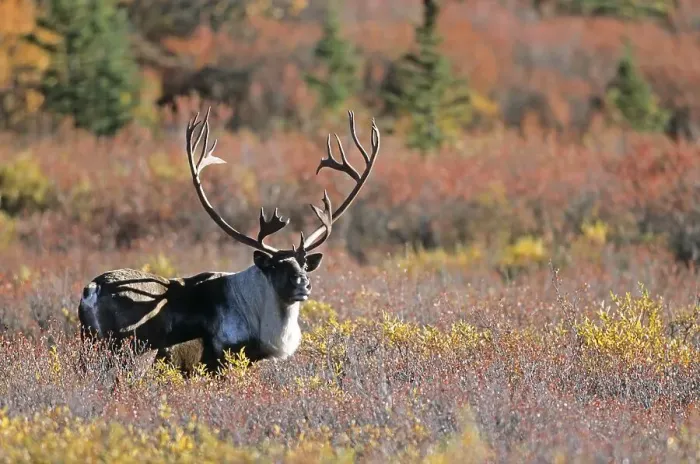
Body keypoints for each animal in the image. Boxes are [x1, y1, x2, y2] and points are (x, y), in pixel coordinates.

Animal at [77, 109, 380, 373]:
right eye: (276, 266)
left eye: (305, 264)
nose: (303, 285)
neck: (258, 314)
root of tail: (93, 288)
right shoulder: (222, 359)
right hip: (127, 350)